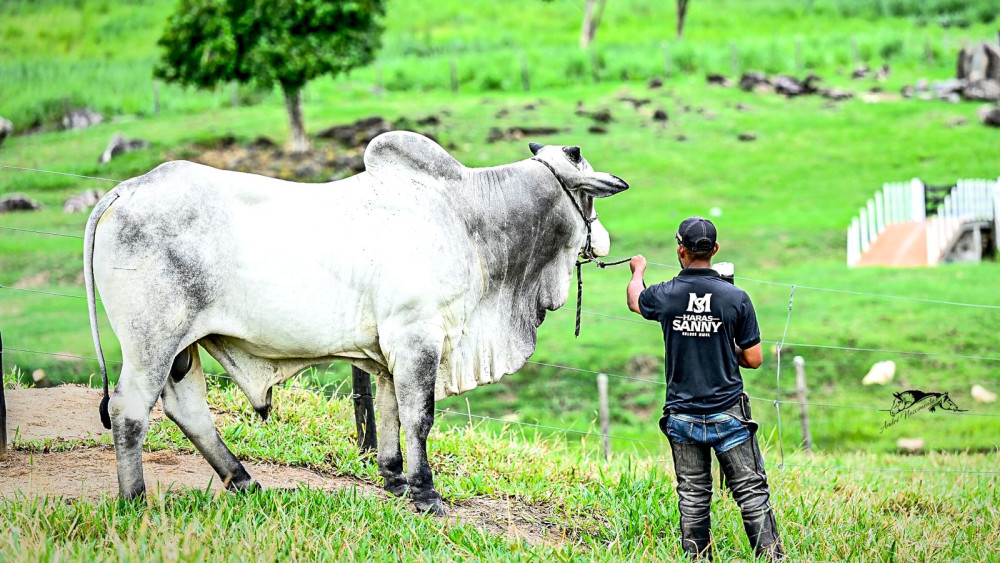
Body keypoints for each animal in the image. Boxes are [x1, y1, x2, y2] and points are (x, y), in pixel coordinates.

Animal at [90, 133, 628, 516]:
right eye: (590, 196)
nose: (603, 239)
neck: (466, 215)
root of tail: (126, 188)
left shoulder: (390, 352)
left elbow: (390, 415)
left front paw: (394, 480)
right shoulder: (417, 338)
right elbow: (419, 418)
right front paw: (426, 494)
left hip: (184, 347)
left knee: (188, 410)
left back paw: (244, 481)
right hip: (151, 342)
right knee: (129, 411)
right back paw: (135, 502)